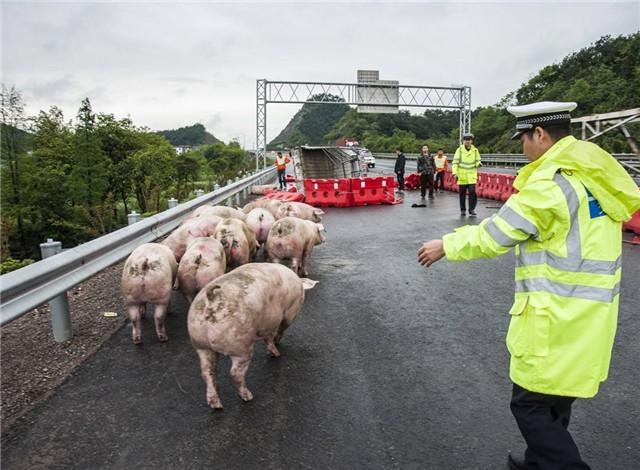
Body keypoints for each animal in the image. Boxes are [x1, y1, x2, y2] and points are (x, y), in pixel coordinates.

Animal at [188, 262, 318, 410]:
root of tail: (211, 298)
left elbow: (268, 337)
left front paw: (274, 352)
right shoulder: (288, 313)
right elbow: (279, 330)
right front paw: (277, 349)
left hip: (200, 343)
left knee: (207, 372)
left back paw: (216, 404)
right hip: (240, 346)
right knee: (235, 373)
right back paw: (248, 396)